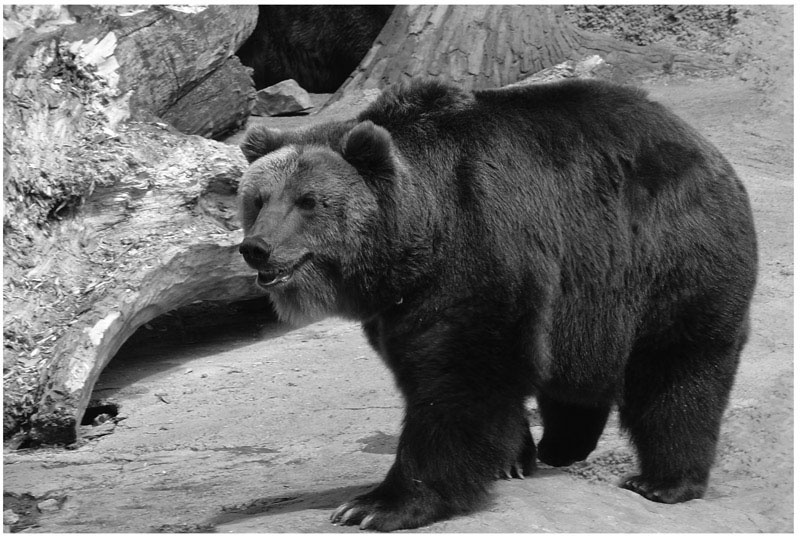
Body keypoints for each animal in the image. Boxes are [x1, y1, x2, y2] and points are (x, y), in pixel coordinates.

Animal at [236, 78, 758, 531]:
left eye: (309, 201)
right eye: (258, 199)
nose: (257, 248)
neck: (417, 240)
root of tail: (703, 146)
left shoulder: (480, 246)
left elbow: (458, 376)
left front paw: (375, 505)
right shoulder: (400, 303)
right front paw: (510, 460)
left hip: (668, 256)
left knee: (677, 369)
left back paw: (662, 481)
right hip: (586, 295)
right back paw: (561, 445)